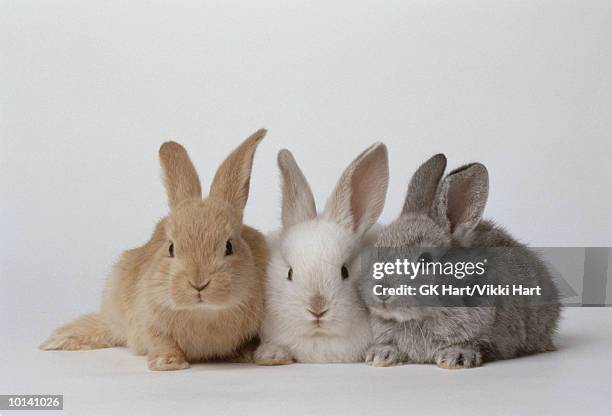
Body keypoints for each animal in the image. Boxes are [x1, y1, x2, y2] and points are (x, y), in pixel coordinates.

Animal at [39, 128, 266, 368]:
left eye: (229, 246)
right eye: (171, 248)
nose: (198, 283)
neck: (203, 313)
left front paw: (243, 355)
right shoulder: (148, 322)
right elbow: (160, 340)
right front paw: (168, 363)